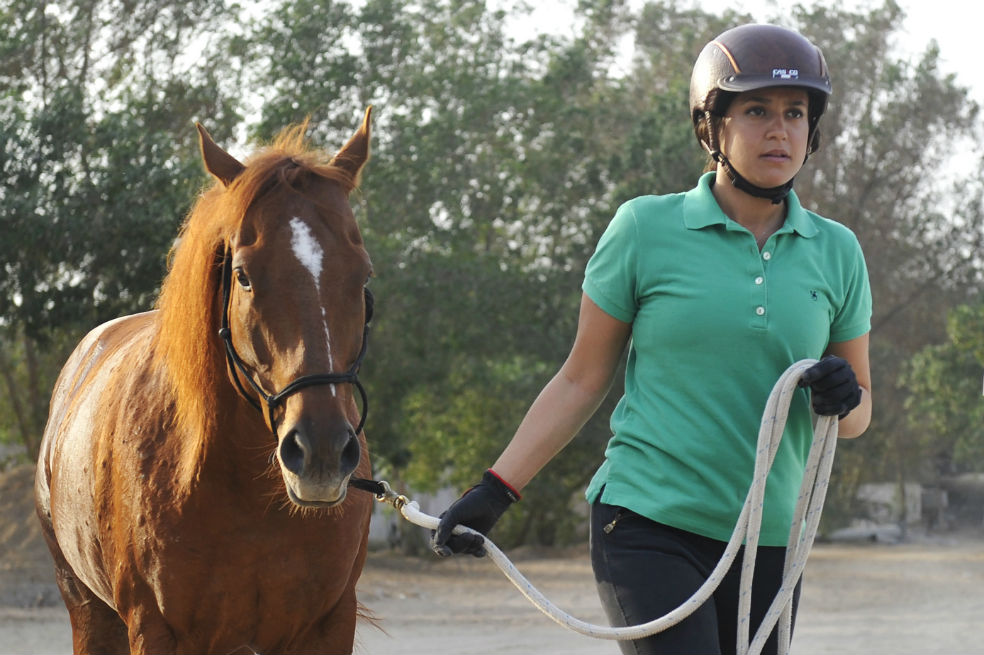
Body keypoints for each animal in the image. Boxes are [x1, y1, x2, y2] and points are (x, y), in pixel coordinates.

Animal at [35, 108, 376, 654]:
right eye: (244, 275)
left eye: (362, 275)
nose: (321, 450)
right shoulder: (154, 629)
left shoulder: (327, 627)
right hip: (88, 612)